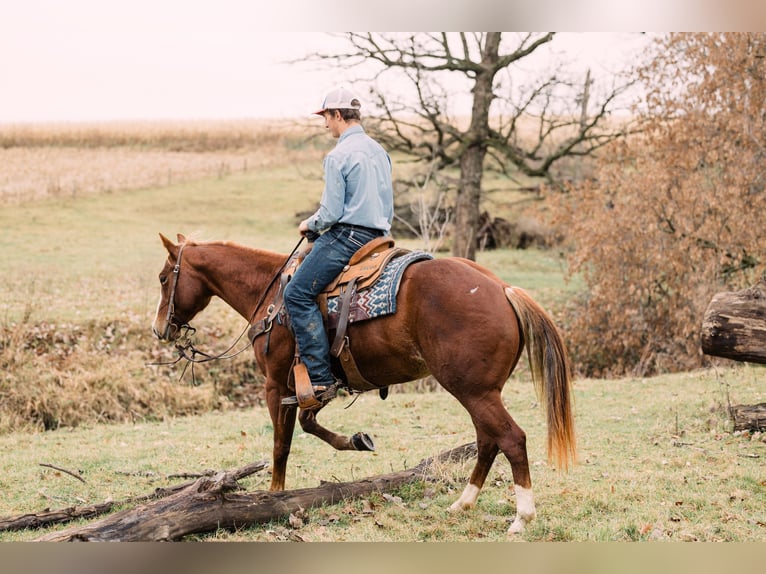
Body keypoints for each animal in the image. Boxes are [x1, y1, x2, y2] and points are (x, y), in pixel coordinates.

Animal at [152, 234, 576, 536]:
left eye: (162, 278)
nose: (159, 329)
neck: (271, 294)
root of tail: (503, 288)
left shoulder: (275, 385)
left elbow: (280, 446)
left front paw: (273, 497)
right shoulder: (317, 384)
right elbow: (309, 423)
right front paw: (356, 441)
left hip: (473, 391)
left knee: (511, 439)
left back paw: (522, 517)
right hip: (480, 392)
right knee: (488, 441)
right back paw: (463, 503)